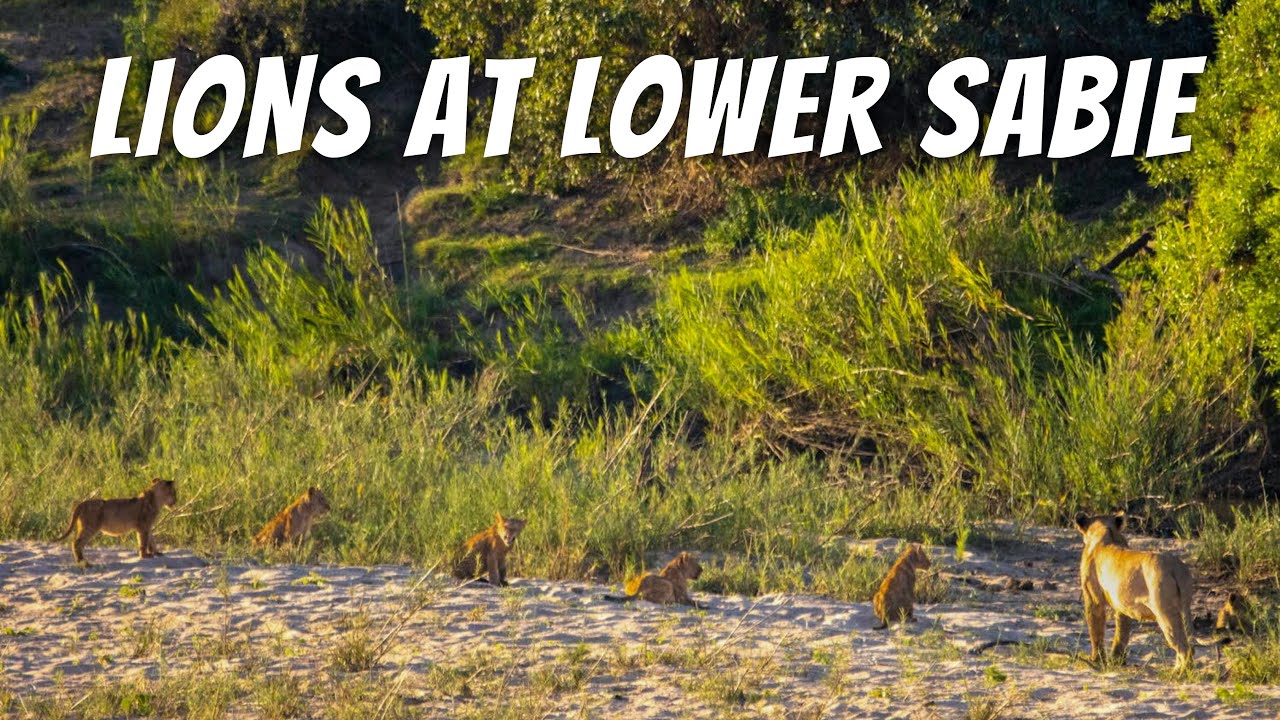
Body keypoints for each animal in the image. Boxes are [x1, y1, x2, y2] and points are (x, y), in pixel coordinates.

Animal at [1075, 511, 1194, 670]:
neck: (1105, 531)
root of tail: (1175, 567)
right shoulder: (1121, 603)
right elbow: (1122, 632)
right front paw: (1117, 660)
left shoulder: (1093, 598)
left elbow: (1096, 629)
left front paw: (1096, 659)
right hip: (1184, 607)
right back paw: (1177, 670)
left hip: (1165, 611)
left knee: (1184, 647)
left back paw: (1179, 673)